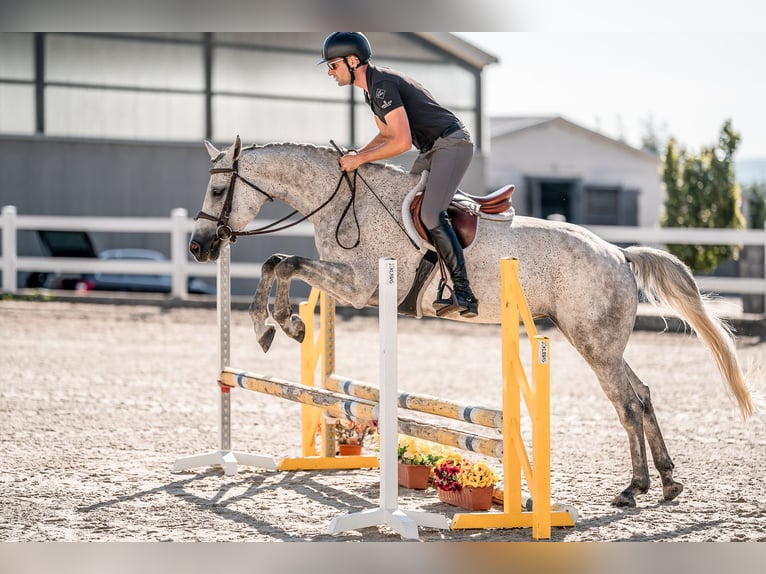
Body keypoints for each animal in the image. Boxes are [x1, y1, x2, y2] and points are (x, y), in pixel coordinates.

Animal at [189, 135, 755, 508]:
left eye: (217, 193)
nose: (199, 247)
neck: (345, 201)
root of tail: (618, 252)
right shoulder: (348, 285)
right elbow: (276, 263)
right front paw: (271, 325)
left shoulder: (359, 285)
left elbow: (283, 263)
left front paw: (280, 325)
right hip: (600, 343)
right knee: (643, 395)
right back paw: (666, 482)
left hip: (593, 344)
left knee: (628, 404)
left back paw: (633, 489)